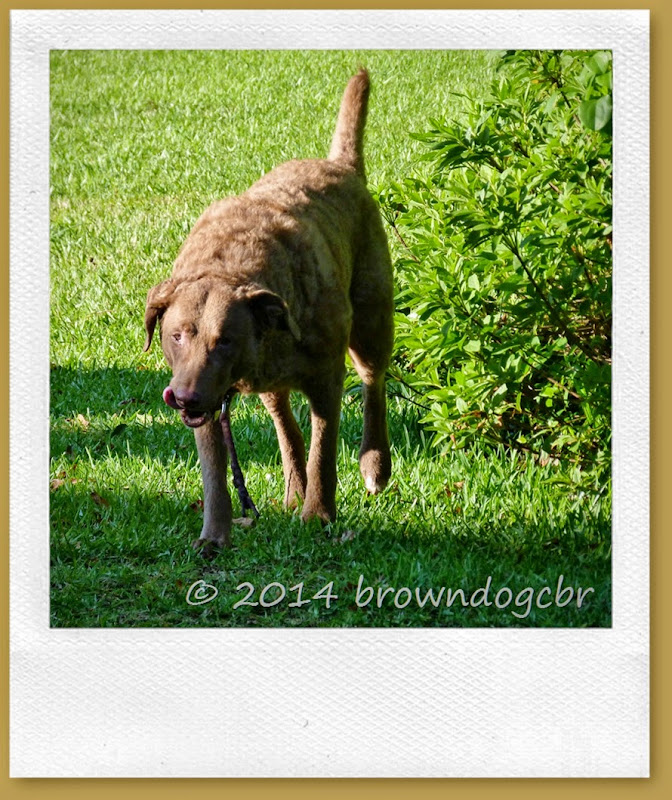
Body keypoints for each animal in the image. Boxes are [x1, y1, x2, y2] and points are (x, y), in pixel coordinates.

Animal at [143, 69, 394, 552]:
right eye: (176, 335)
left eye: (224, 340)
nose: (182, 398)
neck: (230, 267)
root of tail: (340, 165)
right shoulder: (206, 396)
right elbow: (214, 474)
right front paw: (214, 536)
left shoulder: (327, 375)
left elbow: (324, 449)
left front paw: (318, 515)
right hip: (266, 385)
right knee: (283, 420)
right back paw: (294, 486)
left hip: (373, 318)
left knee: (374, 382)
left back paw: (374, 464)